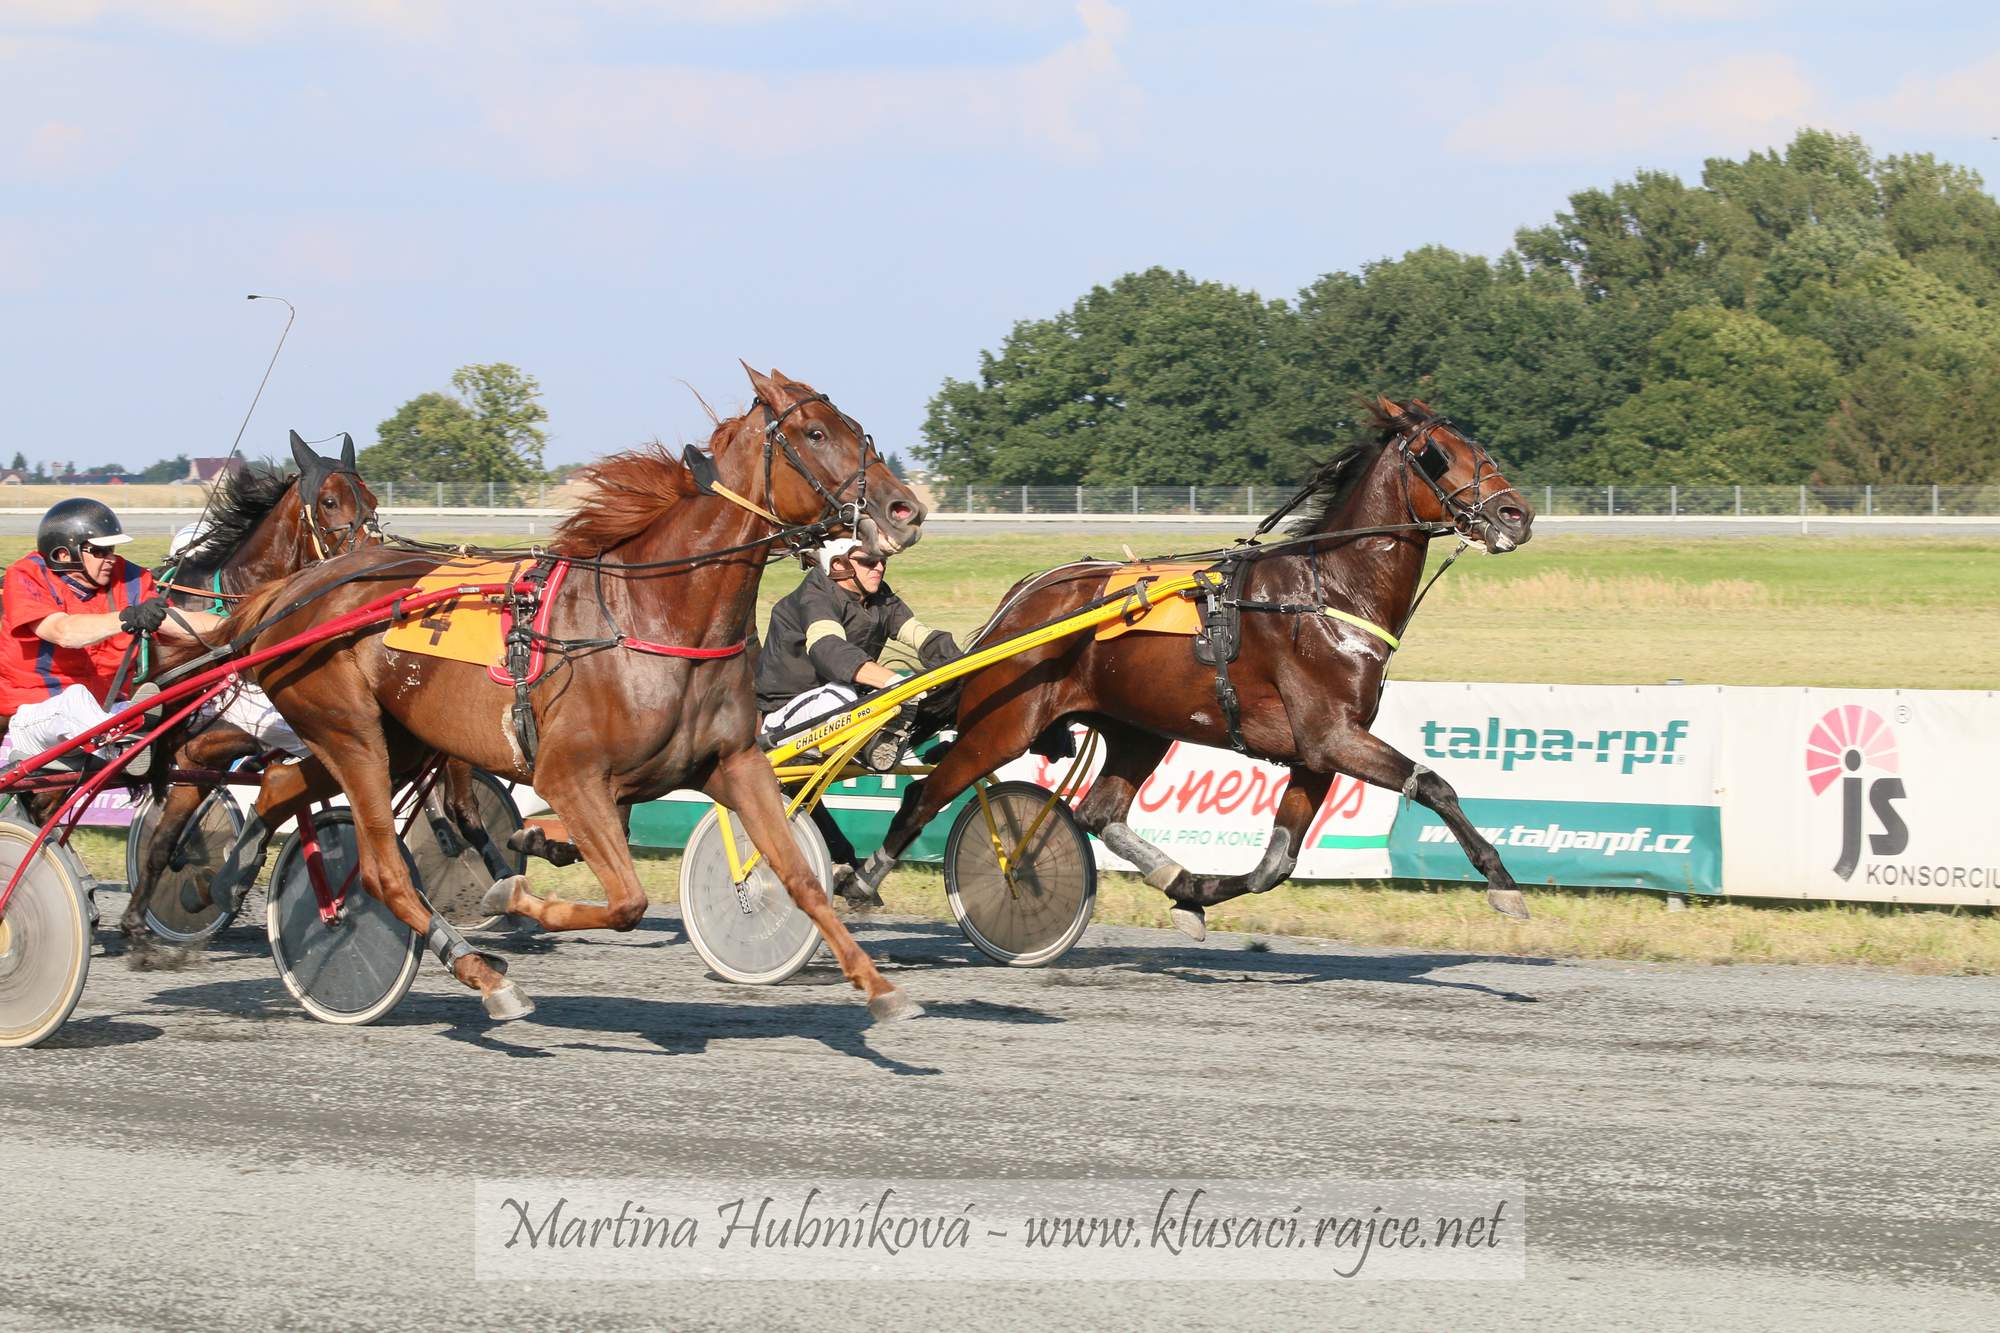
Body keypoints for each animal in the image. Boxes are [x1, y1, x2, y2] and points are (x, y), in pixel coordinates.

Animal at [219, 368, 936, 1020]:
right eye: (816, 433)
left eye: (855, 428)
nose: (907, 510)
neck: (656, 614)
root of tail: (287, 591)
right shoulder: (571, 775)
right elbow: (626, 902)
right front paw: (510, 895)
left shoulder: (733, 762)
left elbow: (797, 875)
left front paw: (876, 984)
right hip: (354, 734)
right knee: (383, 872)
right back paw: (482, 973)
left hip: (397, 740)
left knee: (282, 785)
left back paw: (234, 864)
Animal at [852, 394, 1536, 932]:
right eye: (1439, 453)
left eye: (1477, 445)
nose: (1517, 514)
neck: (1329, 593)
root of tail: (1024, 599)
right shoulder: (1333, 736)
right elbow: (1436, 784)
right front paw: (1503, 882)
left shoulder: (1316, 754)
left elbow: (1274, 866)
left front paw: (1195, 895)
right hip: (1003, 724)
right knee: (924, 793)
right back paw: (862, 880)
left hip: (1139, 726)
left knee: (1099, 813)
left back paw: (1177, 881)